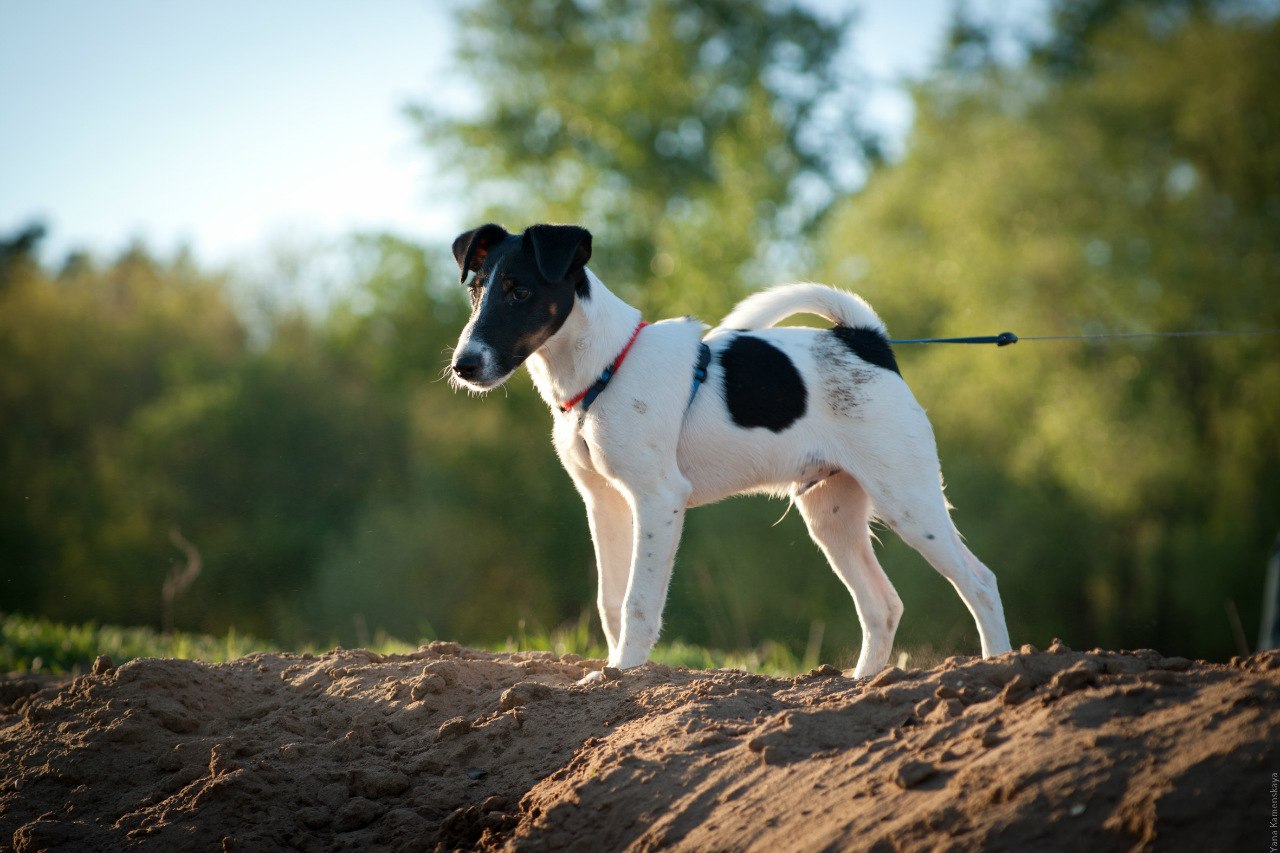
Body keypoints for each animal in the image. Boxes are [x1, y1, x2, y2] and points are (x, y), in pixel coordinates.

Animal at [450, 222, 1008, 681]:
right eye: (476, 291)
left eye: (520, 291)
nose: (463, 365)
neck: (606, 367)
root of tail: (867, 342)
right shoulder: (603, 503)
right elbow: (610, 601)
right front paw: (610, 673)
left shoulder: (658, 500)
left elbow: (638, 602)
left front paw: (626, 674)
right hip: (831, 516)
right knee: (882, 605)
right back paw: (862, 684)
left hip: (909, 502)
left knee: (980, 582)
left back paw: (999, 666)